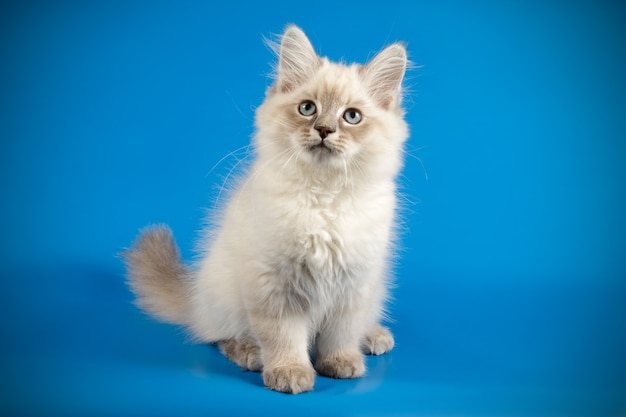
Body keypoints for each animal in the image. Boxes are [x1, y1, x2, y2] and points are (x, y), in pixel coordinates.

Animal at [125, 24, 410, 392]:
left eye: (352, 117)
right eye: (307, 109)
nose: (324, 130)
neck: (324, 196)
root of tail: (194, 296)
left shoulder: (353, 285)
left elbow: (341, 333)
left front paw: (341, 362)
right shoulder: (274, 285)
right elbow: (283, 337)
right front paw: (290, 373)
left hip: (375, 290)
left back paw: (374, 337)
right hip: (224, 292)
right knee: (218, 334)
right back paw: (250, 353)